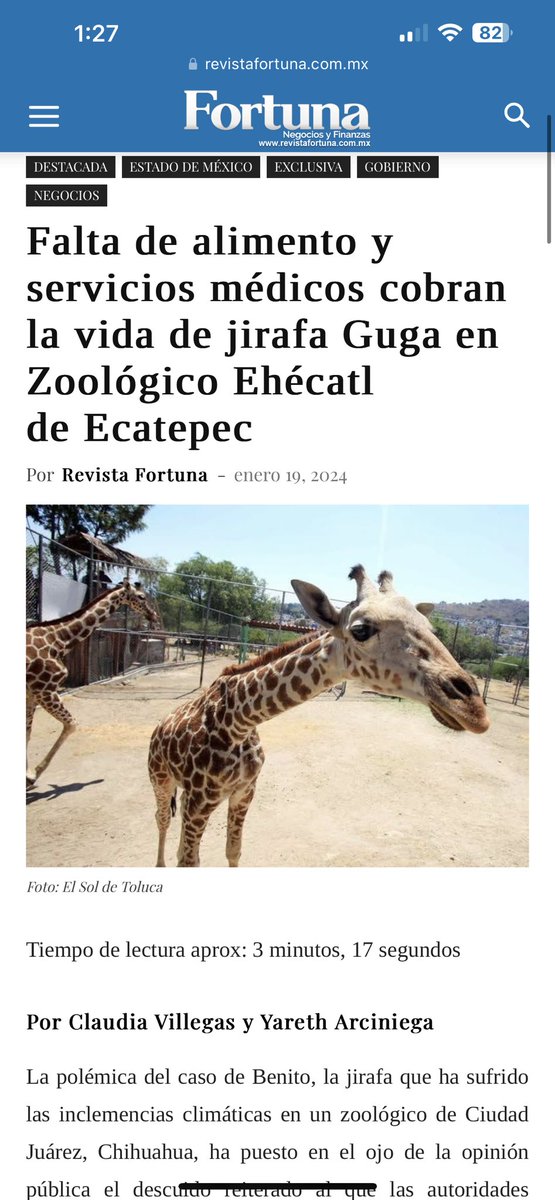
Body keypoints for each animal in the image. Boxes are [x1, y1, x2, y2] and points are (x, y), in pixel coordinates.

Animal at [27, 580, 159, 786]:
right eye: (141, 597)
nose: (153, 615)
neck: (59, 639)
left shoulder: (33, 692)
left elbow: (28, 731)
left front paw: (28, 775)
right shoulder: (44, 690)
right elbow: (71, 724)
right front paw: (33, 774)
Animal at [148, 566, 490, 868]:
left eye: (432, 630)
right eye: (361, 630)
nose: (473, 709)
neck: (238, 722)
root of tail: (158, 728)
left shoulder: (244, 792)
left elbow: (233, 851)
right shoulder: (199, 801)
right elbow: (190, 860)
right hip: (161, 779)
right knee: (162, 820)